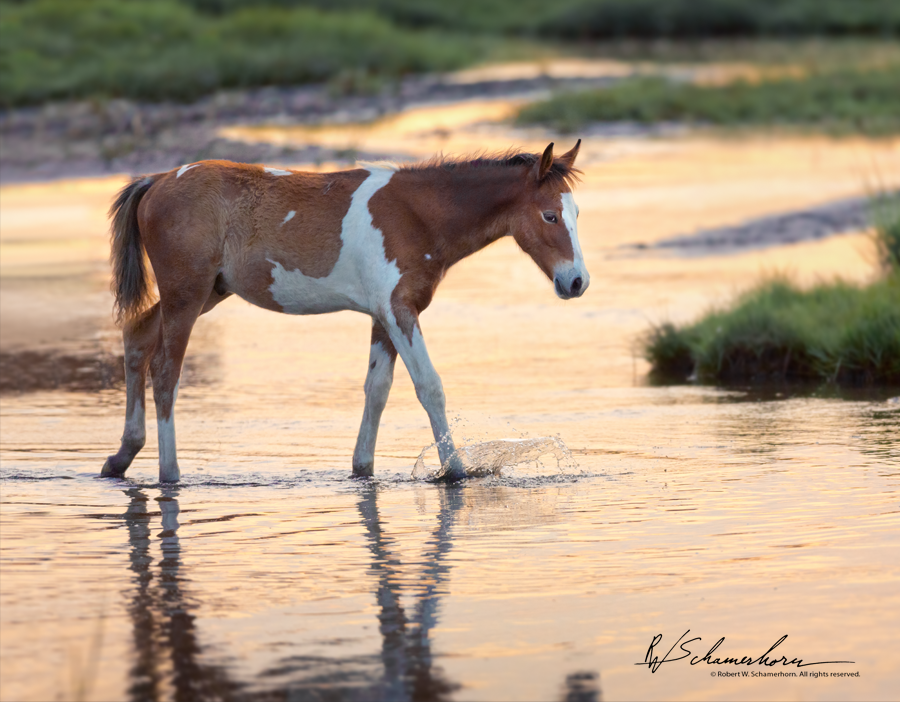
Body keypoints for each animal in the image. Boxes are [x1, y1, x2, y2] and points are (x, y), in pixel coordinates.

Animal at [102, 142, 588, 484]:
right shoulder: (398, 310)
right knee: (165, 371)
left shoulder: (384, 316)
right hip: (187, 295)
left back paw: (121, 456)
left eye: (577, 213)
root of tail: (157, 180)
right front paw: (456, 472)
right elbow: (429, 387)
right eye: (550, 216)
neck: (417, 214)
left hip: (206, 293)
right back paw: (170, 474)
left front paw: (362, 469)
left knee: (137, 337)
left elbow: (378, 390)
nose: (577, 282)